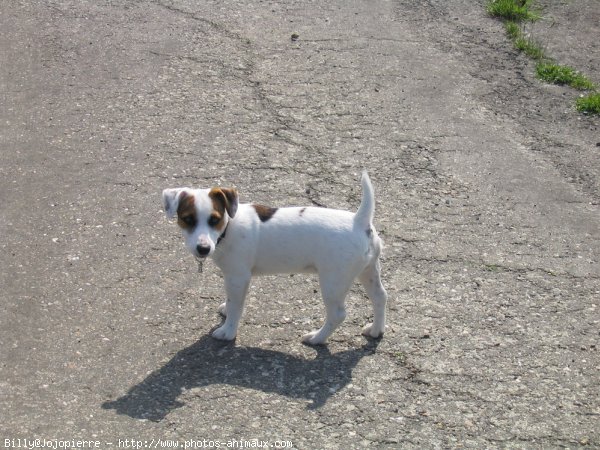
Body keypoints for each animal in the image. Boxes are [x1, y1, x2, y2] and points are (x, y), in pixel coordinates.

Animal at [163, 171, 390, 344]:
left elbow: (236, 306)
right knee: (380, 297)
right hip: (368, 271)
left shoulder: (238, 278)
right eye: (188, 219)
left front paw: (228, 331)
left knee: (338, 314)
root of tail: (359, 221)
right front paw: (226, 310)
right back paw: (375, 330)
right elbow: (230, 300)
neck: (228, 227)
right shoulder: (231, 278)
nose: (203, 249)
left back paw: (316, 338)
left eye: (214, 220)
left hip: (333, 282)